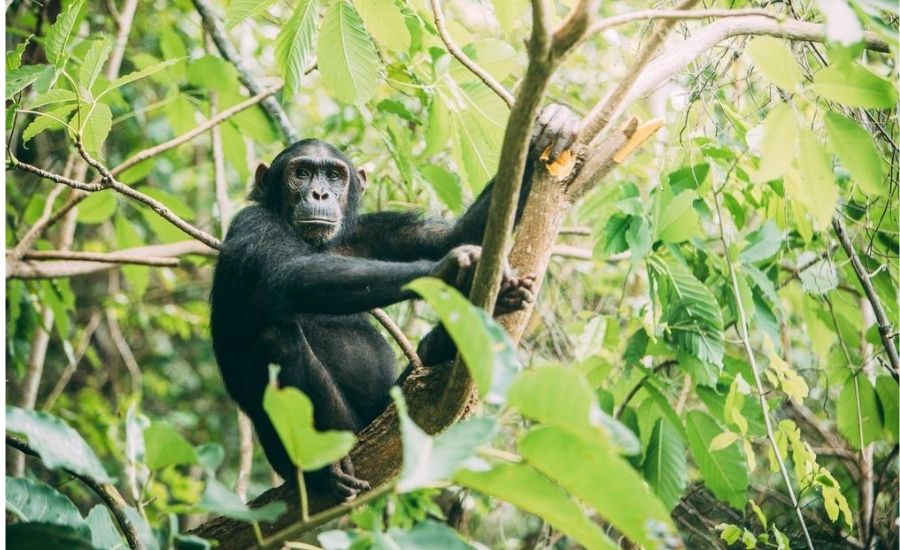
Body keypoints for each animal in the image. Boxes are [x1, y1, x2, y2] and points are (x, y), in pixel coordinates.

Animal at [209, 102, 576, 500]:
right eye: (301, 173)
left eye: (334, 176)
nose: (319, 194)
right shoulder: (252, 225)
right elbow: (288, 274)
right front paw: (449, 271)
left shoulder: (373, 231)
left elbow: (452, 234)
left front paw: (550, 127)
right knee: (277, 339)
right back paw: (324, 469)